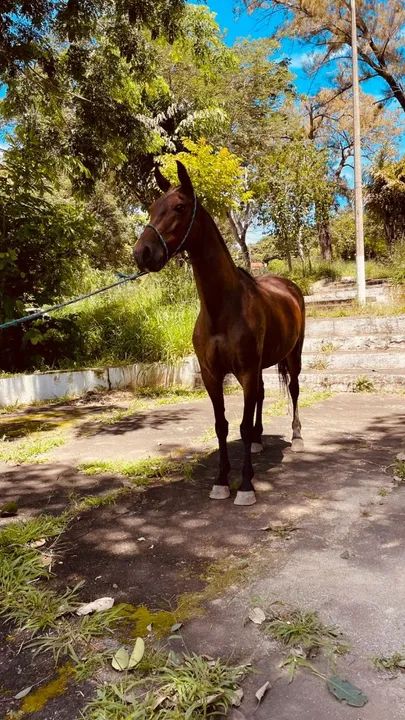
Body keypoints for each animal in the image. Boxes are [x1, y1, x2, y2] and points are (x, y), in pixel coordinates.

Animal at [133, 161, 305, 506]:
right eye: (151, 208)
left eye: (179, 207)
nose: (141, 253)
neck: (223, 309)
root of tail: (289, 286)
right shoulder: (213, 374)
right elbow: (221, 425)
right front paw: (221, 481)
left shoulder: (246, 371)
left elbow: (241, 425)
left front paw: (247, 485)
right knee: (263, 395)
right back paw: (259, 441)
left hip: (294, 355)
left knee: (294, 389)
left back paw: (296, 436)